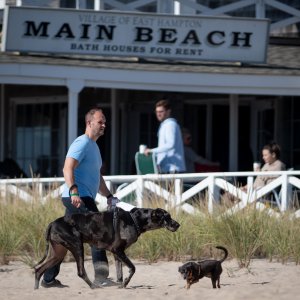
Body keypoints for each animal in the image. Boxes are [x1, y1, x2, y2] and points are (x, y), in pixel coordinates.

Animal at [35, 207, 180, 290]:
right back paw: (93, 286)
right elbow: (133, 268)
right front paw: (126, 283)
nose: (178, 225)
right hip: (77, 246)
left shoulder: (118, 255)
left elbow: (120, 274)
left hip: (58, 253)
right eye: (167, 217)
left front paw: (122, 284)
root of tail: (52, 223)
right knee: (81, 272)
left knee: (38, 269)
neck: (134, 219)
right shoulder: (118, 250)